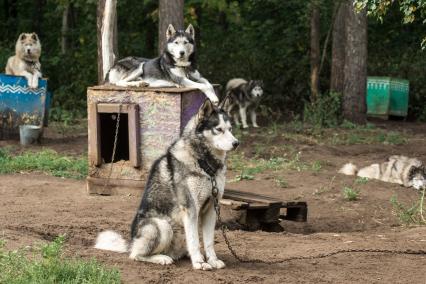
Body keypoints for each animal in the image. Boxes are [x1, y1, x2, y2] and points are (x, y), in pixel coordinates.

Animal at [95, 100, 240, 270]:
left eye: (230, 129)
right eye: (219, 129)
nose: (236, 143)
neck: (205, 165)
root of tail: (131, 243)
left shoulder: (211, 208)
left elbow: (209, 242)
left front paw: (212, 260)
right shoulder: (190, 209)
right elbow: (195, 241)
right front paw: (199, 262)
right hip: (162, 226)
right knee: (136, 255)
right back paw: (161, 258)